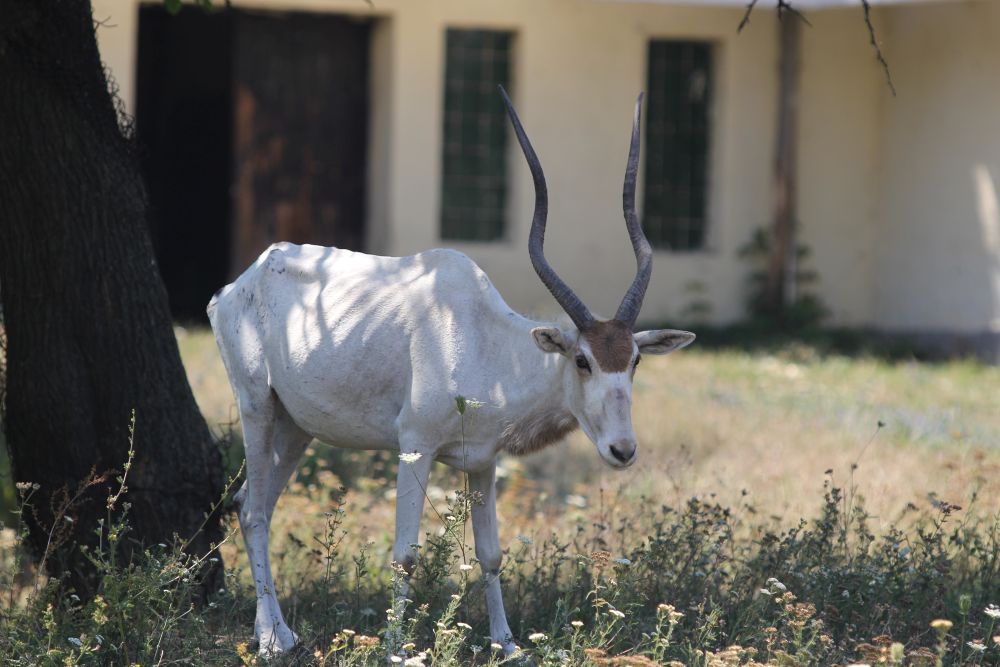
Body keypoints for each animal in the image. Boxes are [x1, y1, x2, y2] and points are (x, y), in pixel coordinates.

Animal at [209, 88, 696, 656]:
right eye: (582, 360)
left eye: (634, 360)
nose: (623, 450)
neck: (487, 341)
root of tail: (241, 283)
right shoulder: (414, 446)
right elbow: (405, 554)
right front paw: (397, 649)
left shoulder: (483, 461)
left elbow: (491, 553)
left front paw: (508, 645)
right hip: (257, 407)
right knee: (253, 510)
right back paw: (272, 640)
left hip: (296, 427)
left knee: (253, 502)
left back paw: (276, 631)